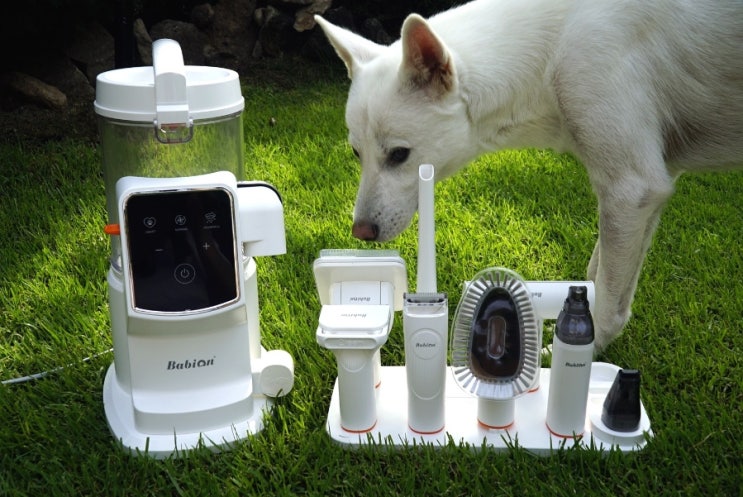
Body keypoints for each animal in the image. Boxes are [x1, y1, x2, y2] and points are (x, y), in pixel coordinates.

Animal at [315, 0, 743, 351]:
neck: (551, 50)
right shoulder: (645, 190)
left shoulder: (631, 188)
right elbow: (599, 272)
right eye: (356, 154)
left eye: (399, 155)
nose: (361, 233)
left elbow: (609, 299)